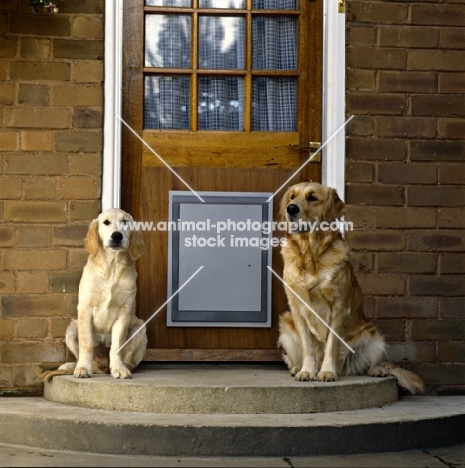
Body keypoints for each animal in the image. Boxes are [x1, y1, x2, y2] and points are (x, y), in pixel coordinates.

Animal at [59, 210, 147, 378]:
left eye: (125, 222)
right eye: (106, 222)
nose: (117, 236)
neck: (111, 267)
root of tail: (102, 367)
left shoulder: (124, 310)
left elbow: (117, 345)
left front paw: (118, 369)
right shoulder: (85, 308)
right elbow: (86, 343)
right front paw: (82, 369)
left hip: (139, 328)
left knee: (129, 360)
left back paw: (120, 367)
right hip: (71, 329)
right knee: (84, 357)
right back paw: (74, 366)